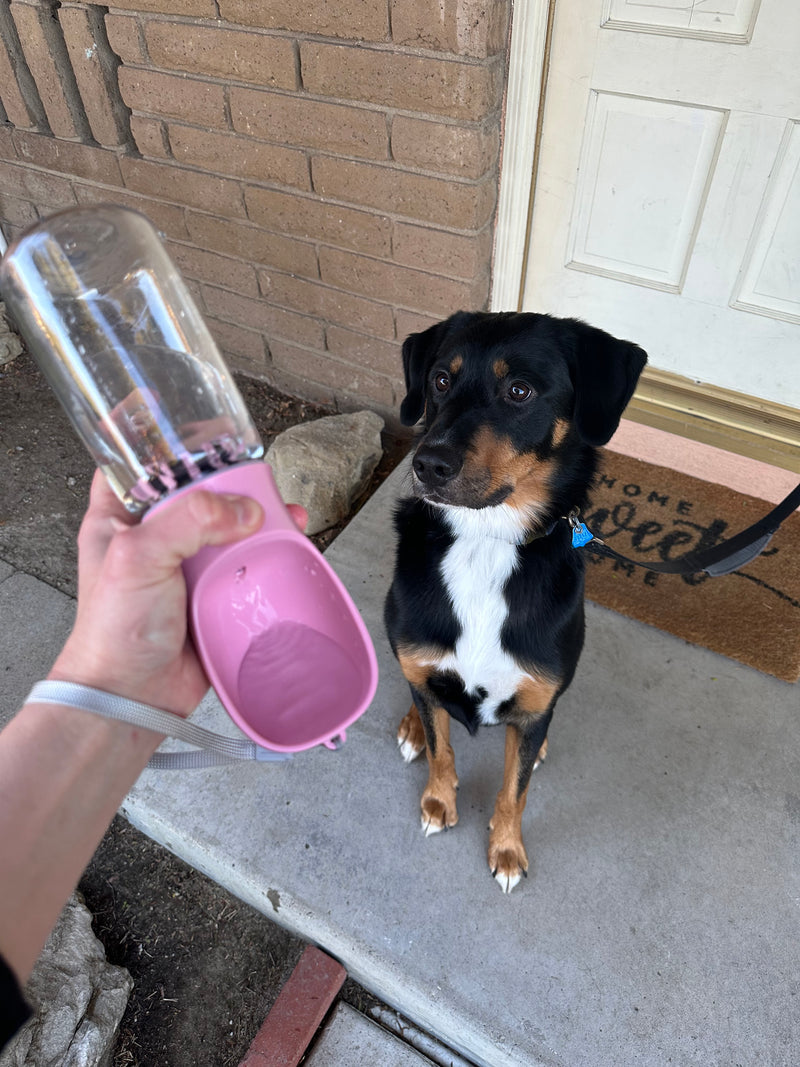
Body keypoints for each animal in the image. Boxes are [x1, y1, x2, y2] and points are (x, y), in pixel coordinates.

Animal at [386, 311, 648, 892]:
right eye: (440, 379)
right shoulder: (420, 657)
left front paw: (506, 849)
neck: (485, 542)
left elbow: (515, 788)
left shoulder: (534, 702)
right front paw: (438, 801)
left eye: (520, 390)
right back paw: (413, 723)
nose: (428, 464)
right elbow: (441, 747)